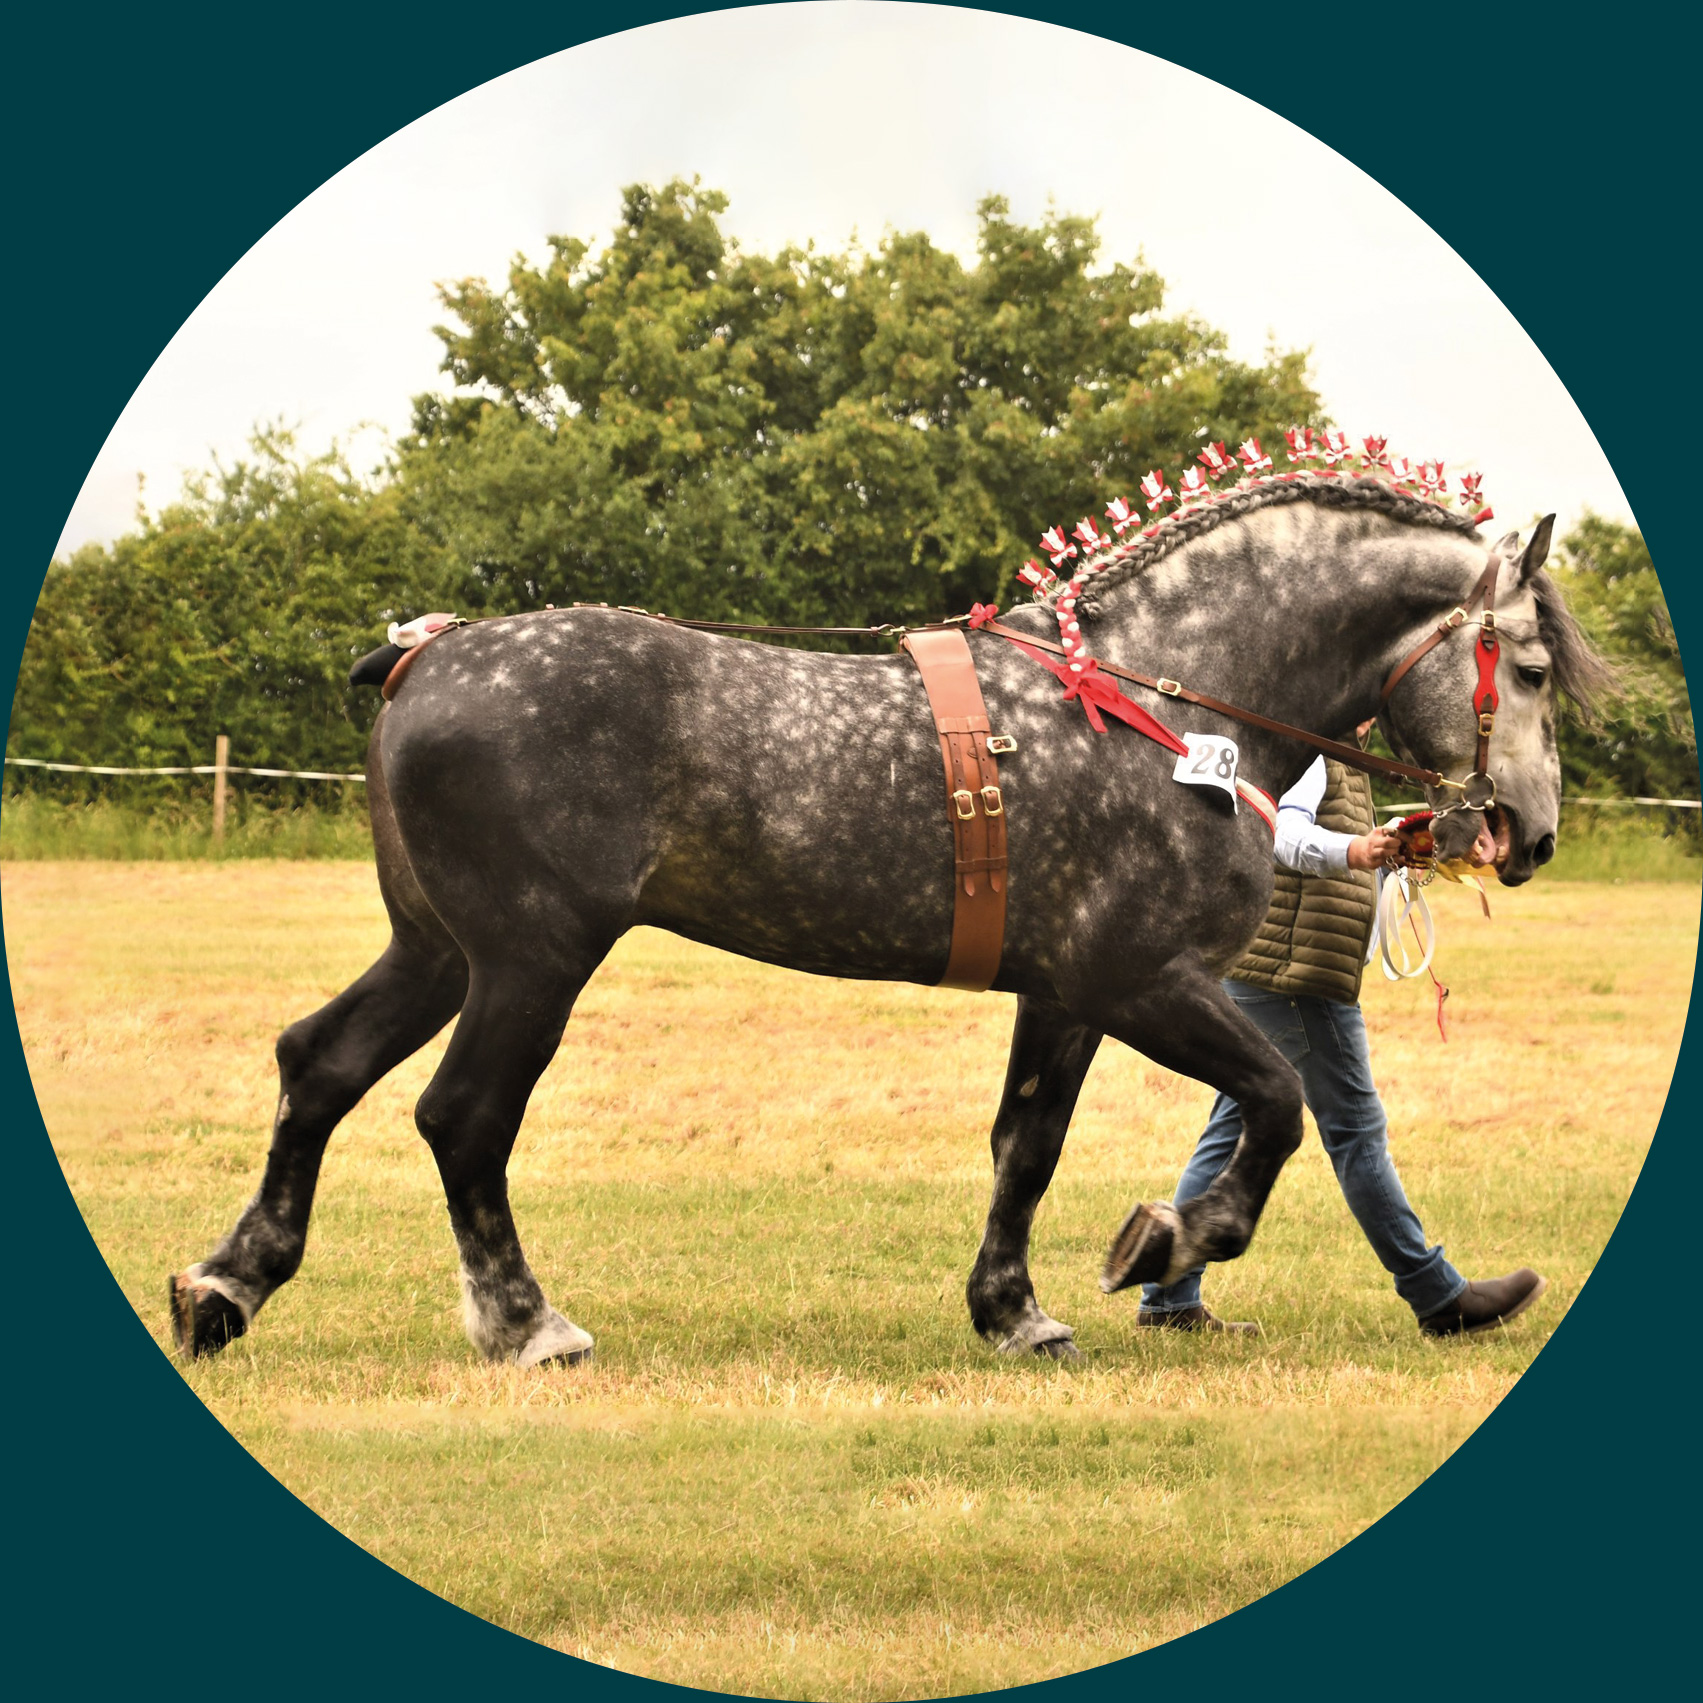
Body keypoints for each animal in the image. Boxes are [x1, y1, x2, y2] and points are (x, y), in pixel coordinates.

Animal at [169, 480, 1594, 1369]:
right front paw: (1168, 1239)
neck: (1156, 701)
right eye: (1524, 667)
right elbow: (1278, 1104)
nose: (1525, 831)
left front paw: (1012, 1310)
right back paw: (527, 1323)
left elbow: (1026, 1145)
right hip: (528, 960)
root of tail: (425, 655)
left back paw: (228, 1283)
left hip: (436, 950)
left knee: (320, 1064)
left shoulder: (1061, 996)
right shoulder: (1140, 978)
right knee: (462, 1117)